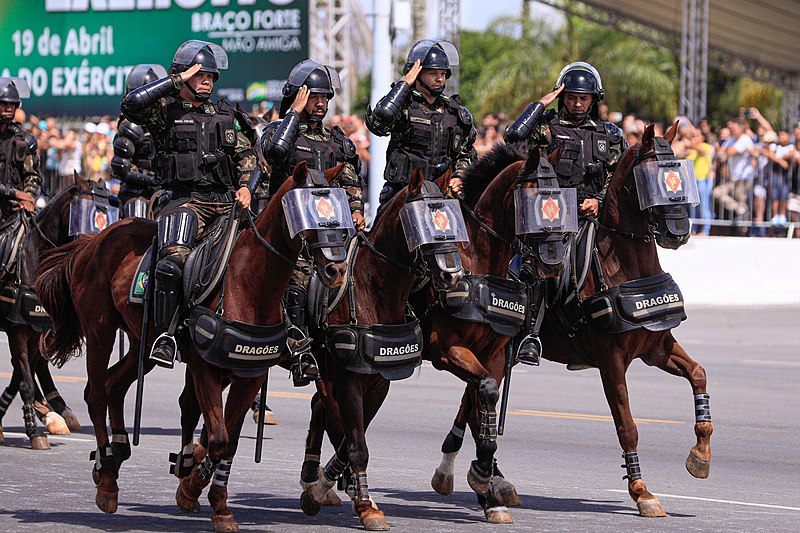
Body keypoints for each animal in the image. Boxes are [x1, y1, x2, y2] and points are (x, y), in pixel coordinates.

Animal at [36, 163, 346, 532]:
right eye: (305, 213)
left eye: (338, 209)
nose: (336, 269)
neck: (246, 284)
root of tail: (92, 240)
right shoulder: (205, 369)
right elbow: (218, 438)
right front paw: (192, 488)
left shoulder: (251, 374)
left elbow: (229, 443)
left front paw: (218, 504)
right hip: (100, 331)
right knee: (96, 392)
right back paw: (108, 478)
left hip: (142, 342)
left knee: (114, 386)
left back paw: (114, 456)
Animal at [434, 123, 708, 516]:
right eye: (649, 177)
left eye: (680, 175)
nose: (679, 231)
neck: (622, 264)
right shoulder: (611, 362)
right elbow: (627, 425)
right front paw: (641, 491)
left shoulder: (656, 347)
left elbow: (698, 374)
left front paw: (701, 455)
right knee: (476, 407)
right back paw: (485, 479)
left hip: (494, 355)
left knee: (472, 403)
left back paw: (474, 476)